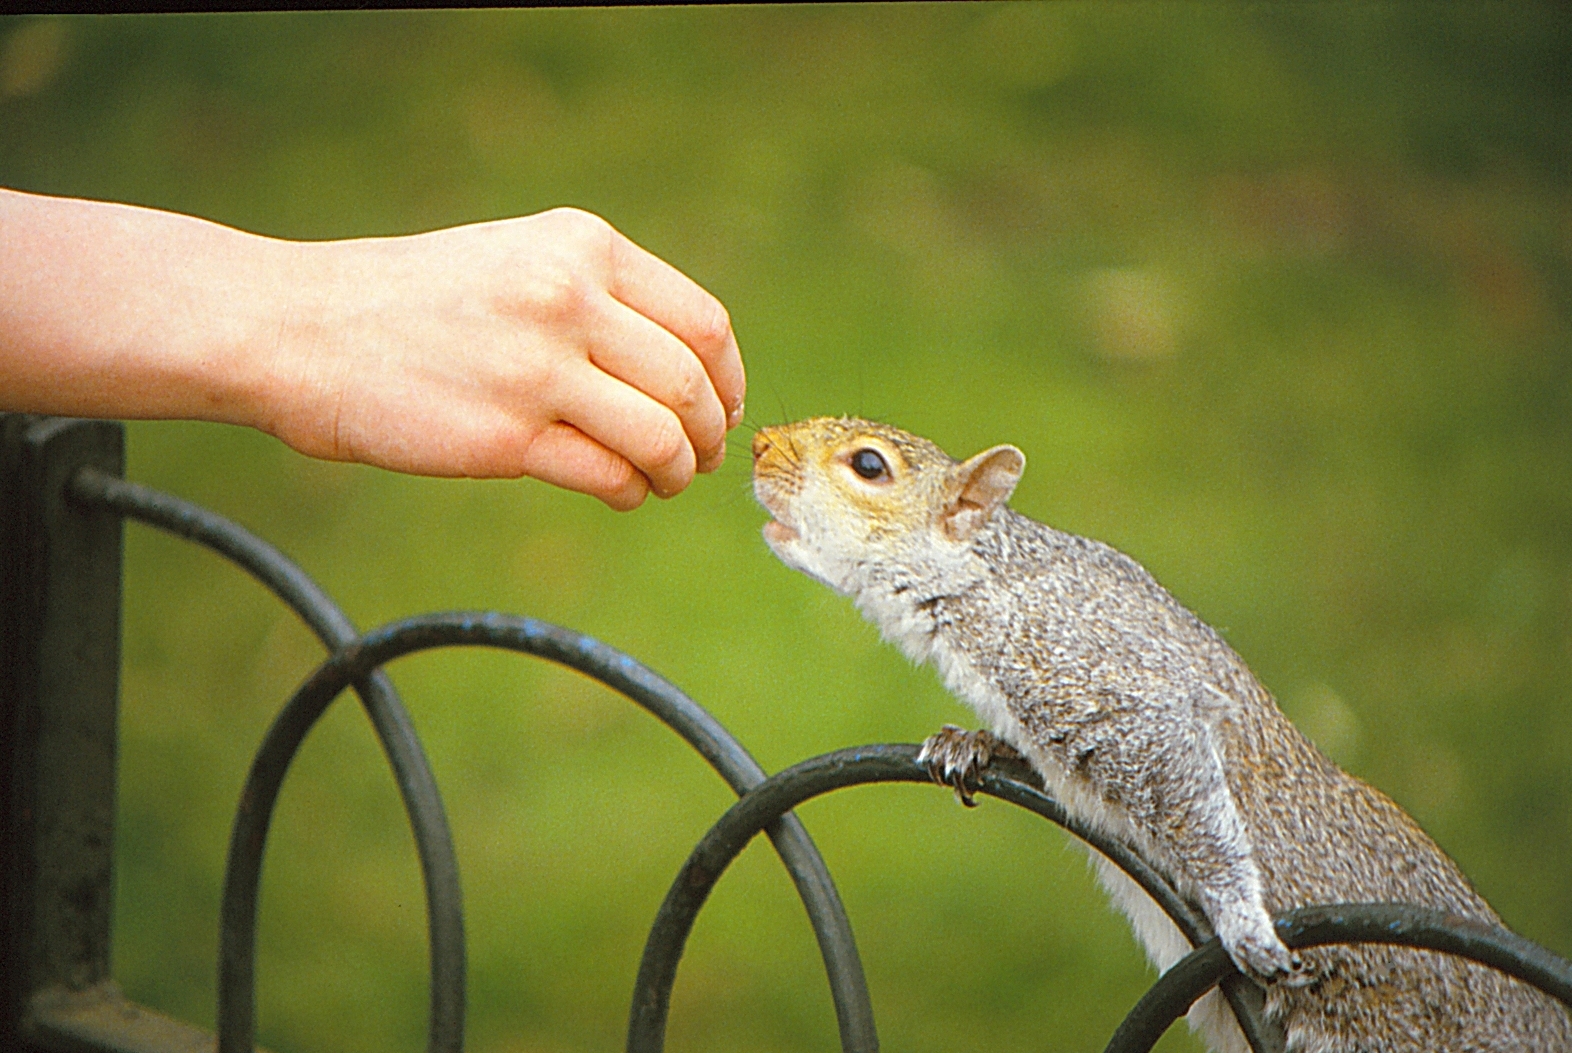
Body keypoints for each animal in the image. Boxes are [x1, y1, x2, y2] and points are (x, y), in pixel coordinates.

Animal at [748, 418, 1572, 1053]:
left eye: (869, 465)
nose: (757, 442)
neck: (984, 579)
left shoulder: (1096, 670)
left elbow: (1183, 778)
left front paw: (1242, 921)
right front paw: (974, 744)